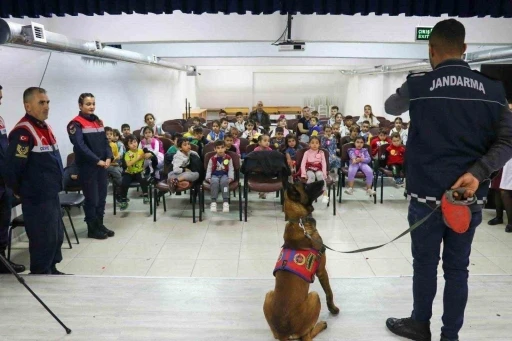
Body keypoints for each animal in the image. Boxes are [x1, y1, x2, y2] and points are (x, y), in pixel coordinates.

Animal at [264, 179, 340, 338]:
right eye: (305, 185)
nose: (324, 180)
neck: (299, 221)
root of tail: (285, 333)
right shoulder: (322, 271)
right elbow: (329, 292)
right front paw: (333, 309)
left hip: (268, 295)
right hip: (314, 296)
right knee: (308, 335)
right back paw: (321, 325)